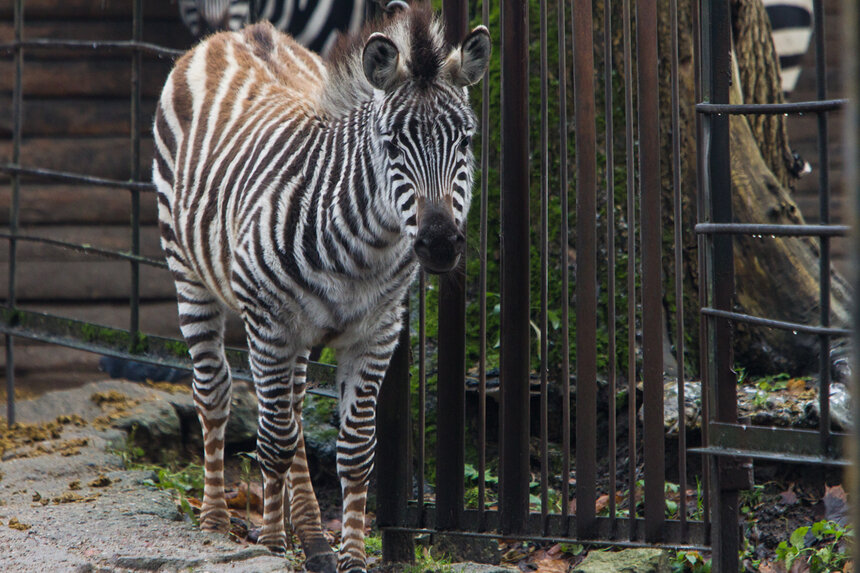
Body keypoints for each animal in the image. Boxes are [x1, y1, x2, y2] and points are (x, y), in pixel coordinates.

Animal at [153, 4, 490, 572]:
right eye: (391, 145)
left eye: (465, 141)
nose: (441, 244)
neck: (364, 255)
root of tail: (237, 34)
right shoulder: (269, 324)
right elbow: (274, 440)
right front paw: (270, 543)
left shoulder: (377, 334)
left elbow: (354, 451)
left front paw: (349, 555)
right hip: (190, 273)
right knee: (217, 392)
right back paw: (217, 520)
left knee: (289, 405)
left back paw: (311, 536)